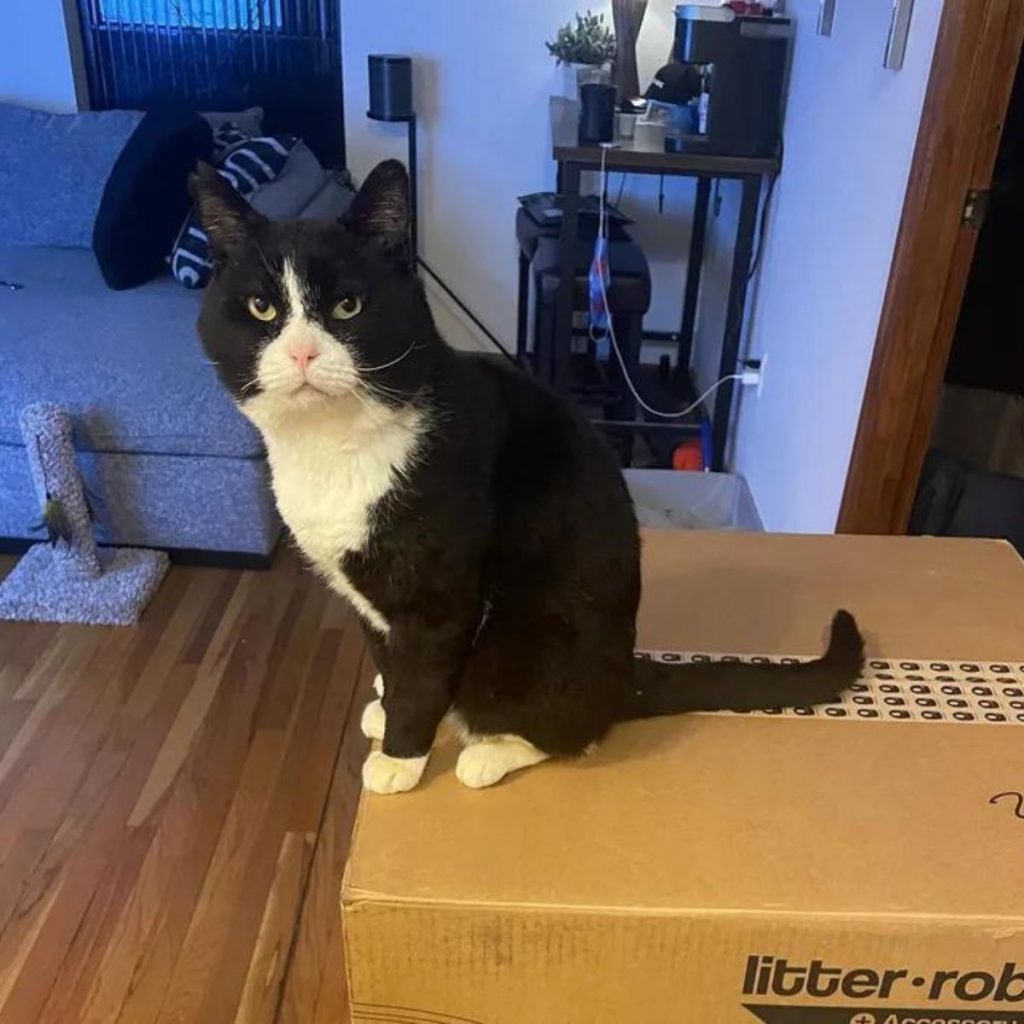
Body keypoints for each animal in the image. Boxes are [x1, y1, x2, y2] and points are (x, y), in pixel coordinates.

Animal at [192, 155, 864, 794]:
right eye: (261, 307)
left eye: (347, 306)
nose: (303, 352)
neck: (332, 449)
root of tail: (628, 672)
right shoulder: (364, 597)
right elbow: (390, 660)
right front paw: (387, 707)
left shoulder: (439, 597)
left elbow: (423, 674)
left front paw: (402, 757)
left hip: (527, 641)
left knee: (571, 730)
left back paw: (489, 753)